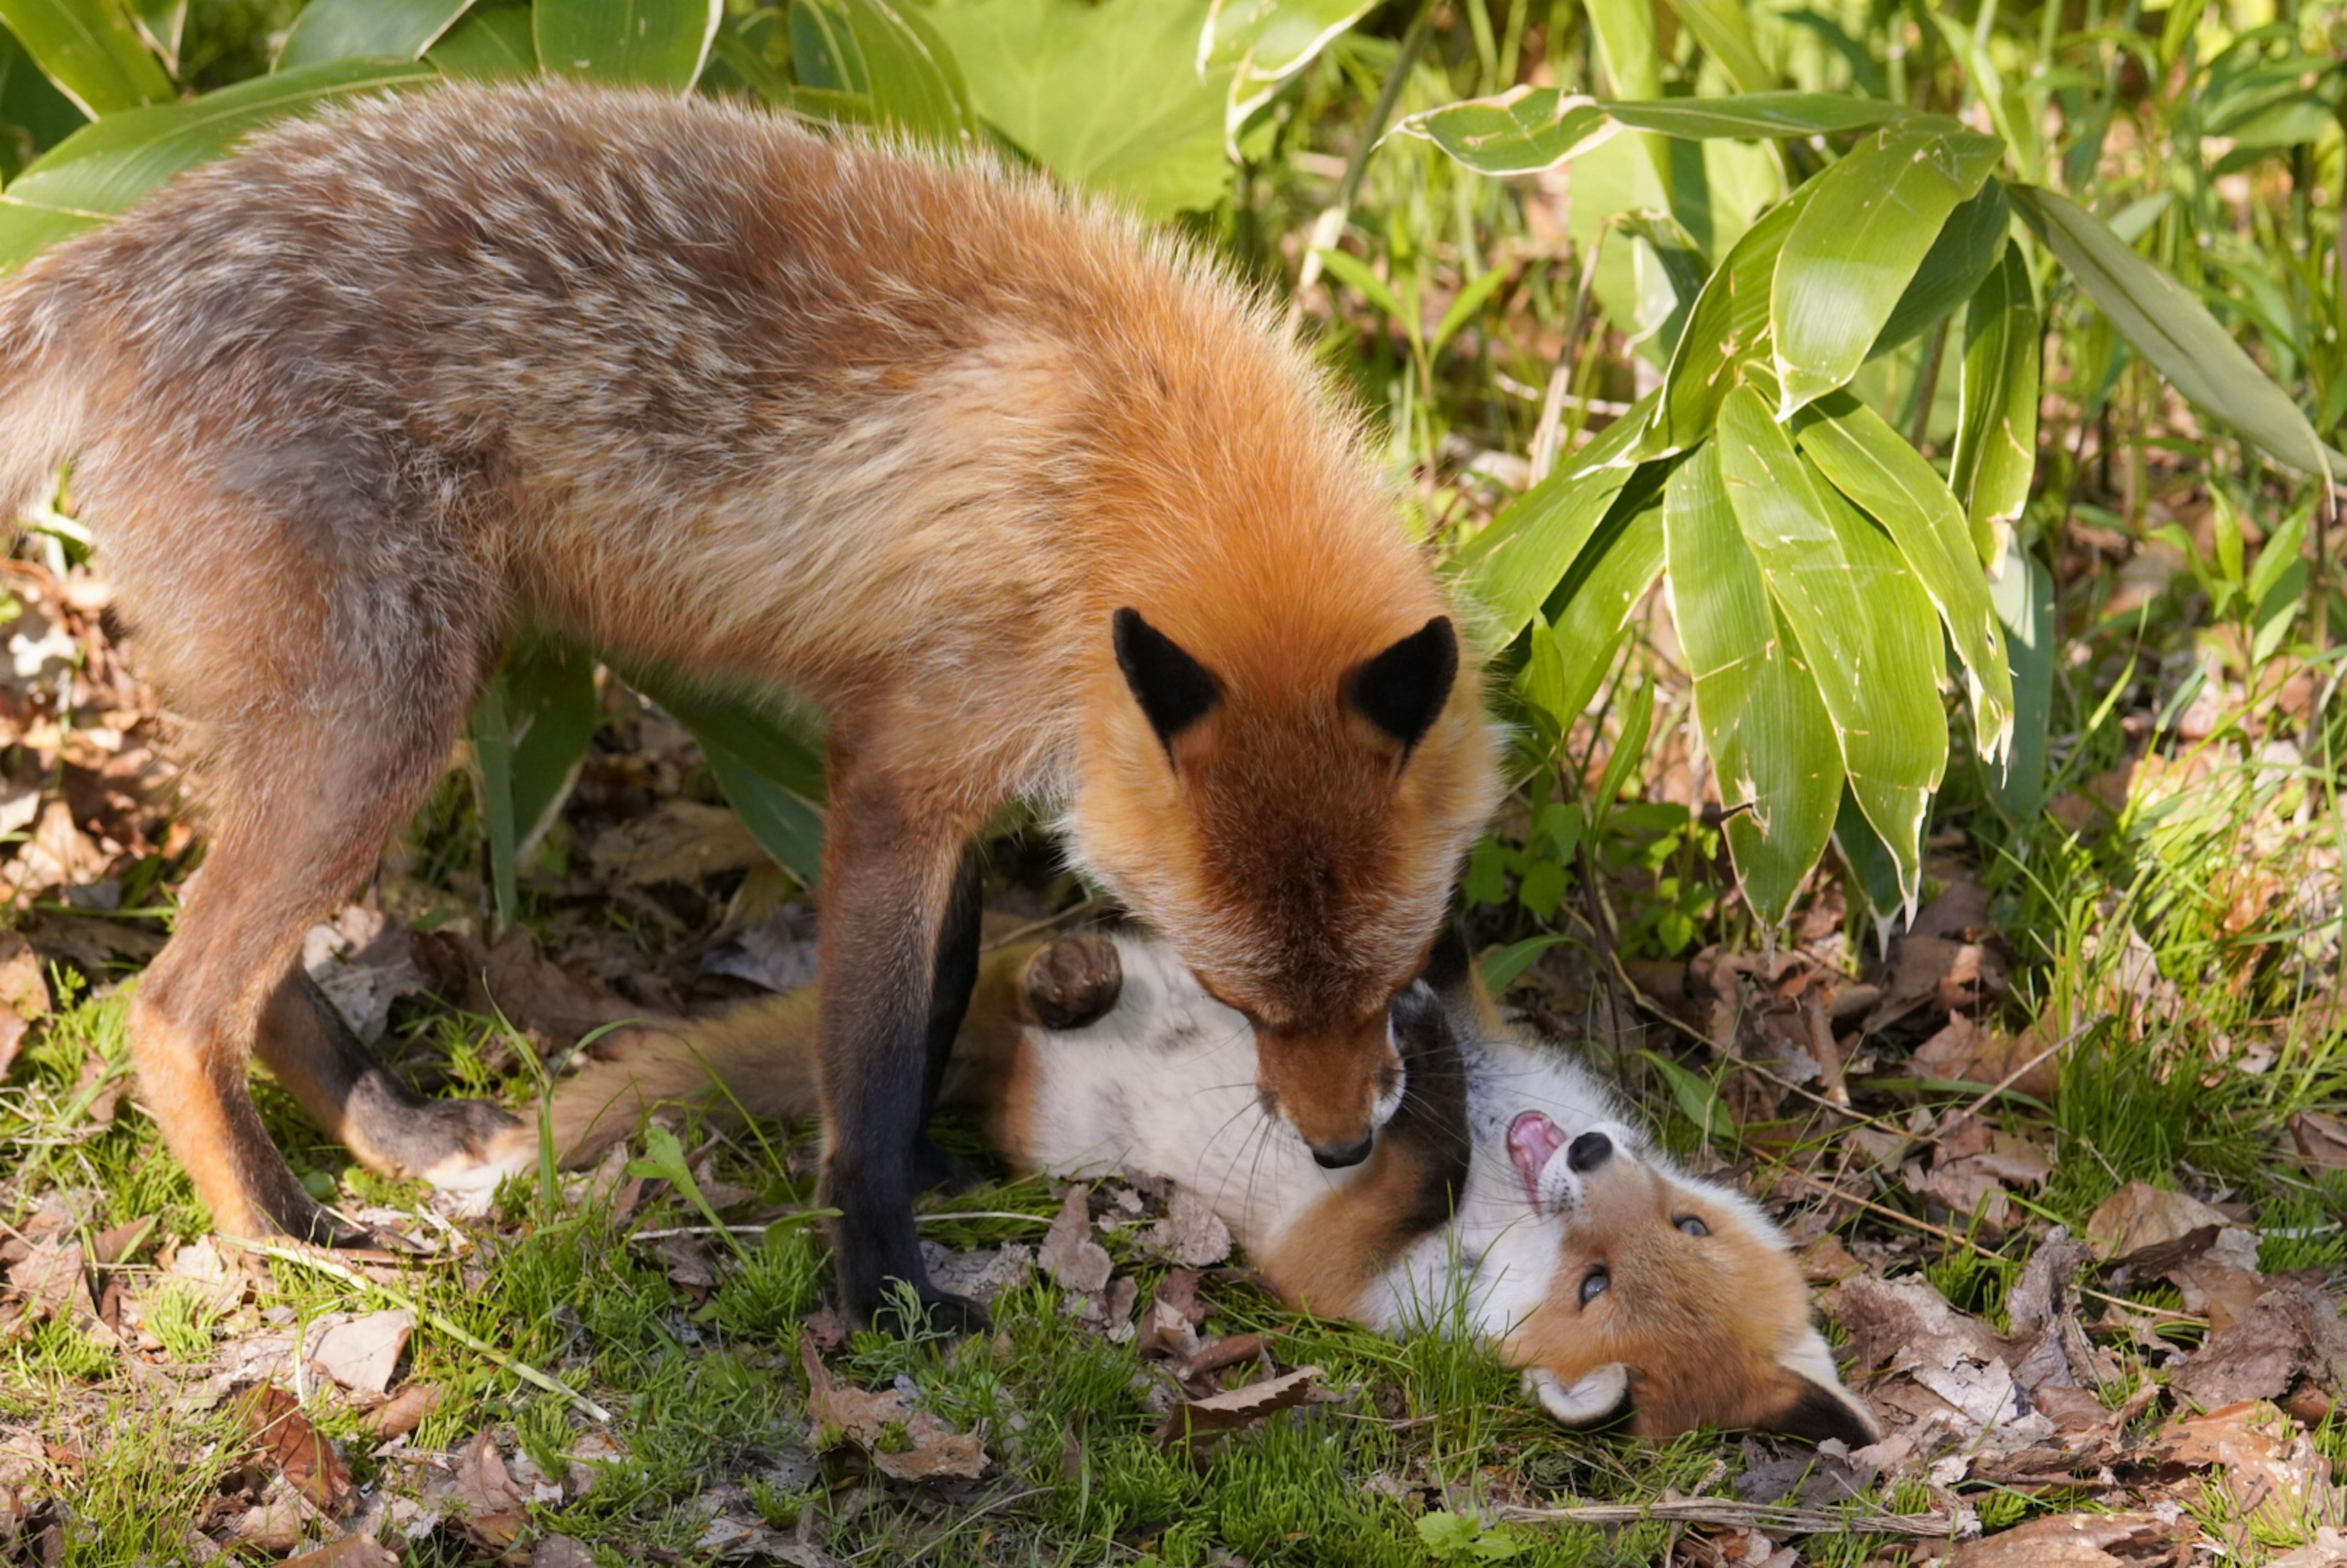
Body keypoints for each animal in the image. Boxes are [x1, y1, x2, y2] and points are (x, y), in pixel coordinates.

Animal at [0, 76, 1502, 1324]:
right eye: (1234, 995)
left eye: (1400, 971)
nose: (1342, 1147)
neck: (1130, 467)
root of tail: (126, 252)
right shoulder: (904, 760)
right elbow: (875, 1052)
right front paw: (882, 1276)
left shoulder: (936, 748)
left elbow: (939, 997)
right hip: (388, 717)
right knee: (174, 1006)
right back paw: (282, 1235)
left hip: (330, 724)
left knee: (247, 982)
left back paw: (394, 1132)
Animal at [504, 929, 1878, 1446]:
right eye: (1688, 1217)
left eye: (1597, 1285)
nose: (1587, 1156)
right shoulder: (1504, 1040)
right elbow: (1457, 981)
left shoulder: (1334, 1261)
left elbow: (1412, 1159)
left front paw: (1421, 1074)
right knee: (1027, 968)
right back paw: (1077, 969)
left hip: (1047, 1131)